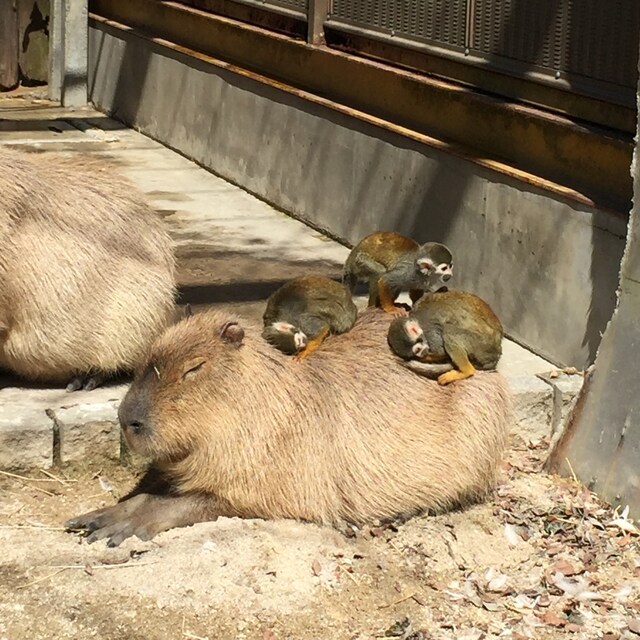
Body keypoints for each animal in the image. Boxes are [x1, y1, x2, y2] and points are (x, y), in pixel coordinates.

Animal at [64, 308, 512, 547]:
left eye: (194, 368)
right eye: (143, 361)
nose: (128, 420)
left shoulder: (274, 483)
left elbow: (184, 502)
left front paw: (123, 527)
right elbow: (152, 489)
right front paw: (96, 517)